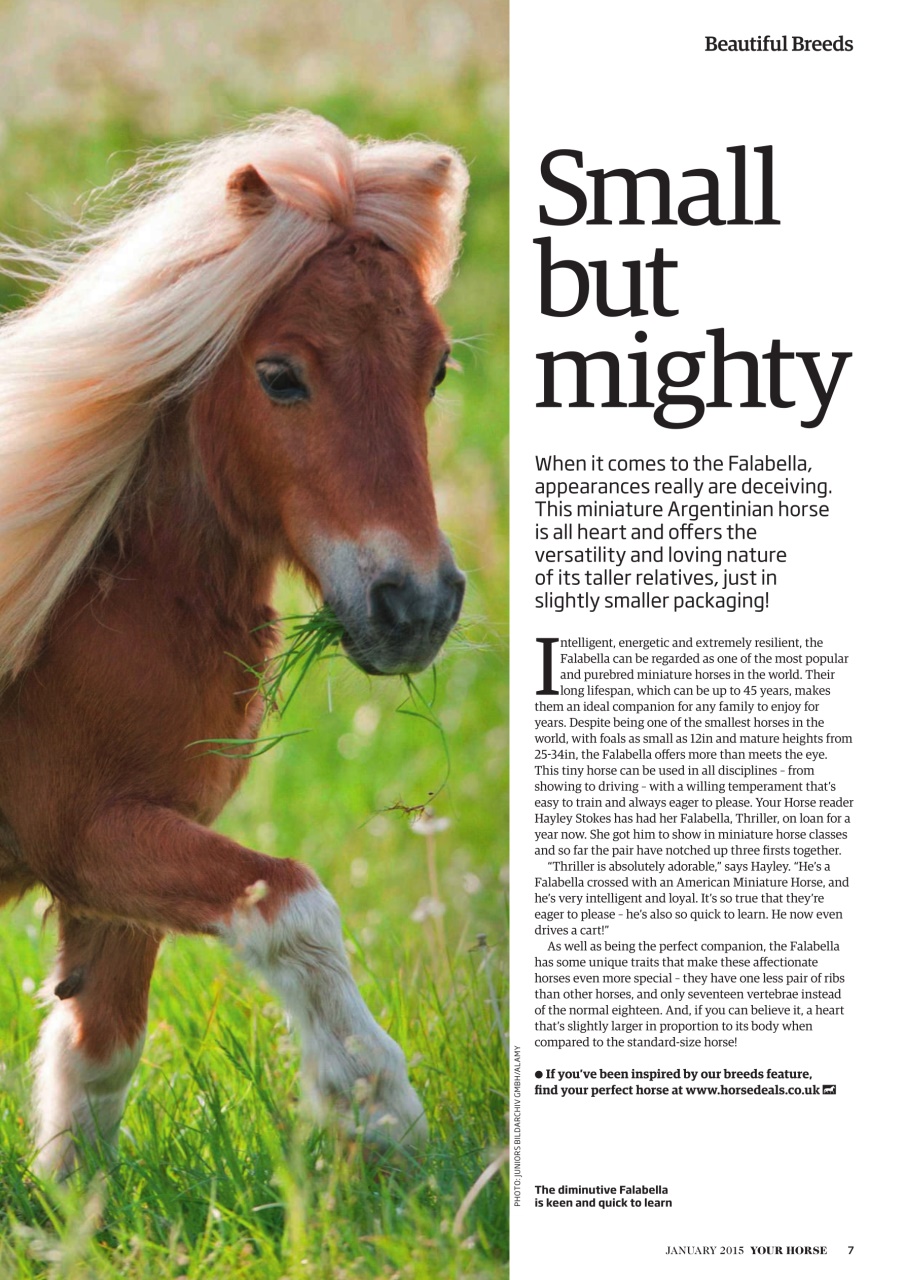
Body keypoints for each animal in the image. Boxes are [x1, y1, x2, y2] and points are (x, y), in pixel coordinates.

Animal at [0, 111, 468, 1177]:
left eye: (435, 370)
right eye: (279, 375)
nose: (415, 604)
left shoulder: (121, 859)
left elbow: (97, 1058)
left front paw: (67, 1208)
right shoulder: (83, 831)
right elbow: (291, 903)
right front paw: (379, 1109)